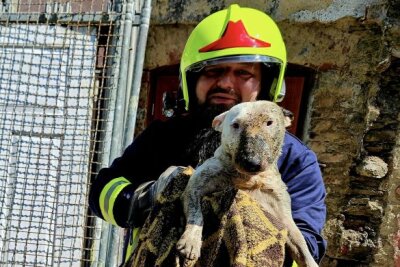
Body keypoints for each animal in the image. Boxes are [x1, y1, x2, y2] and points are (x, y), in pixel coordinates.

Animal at [177, 101, 318, 267]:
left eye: (269, 122)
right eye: (235, 125)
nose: (251, 162)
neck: (249, 178)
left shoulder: (280, 205)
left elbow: (299, 239)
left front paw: (310, 261)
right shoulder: (200, 182)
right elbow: (195, 210)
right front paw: (190, 241)